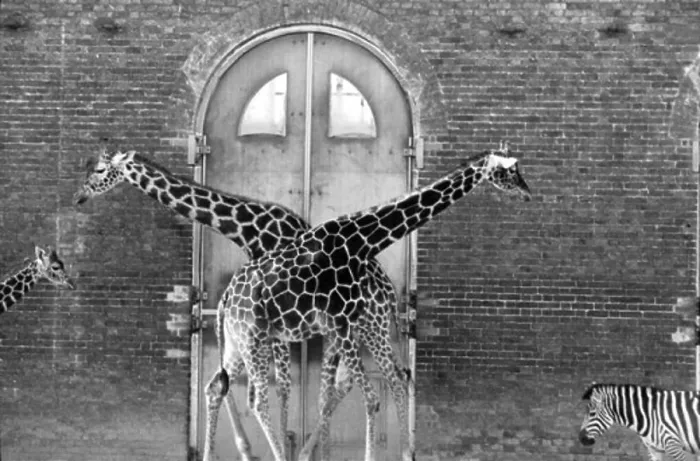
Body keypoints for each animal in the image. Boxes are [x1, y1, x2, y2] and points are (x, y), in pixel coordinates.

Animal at [72, 148, 410, 460]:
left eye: (100, 170)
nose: (79, 196)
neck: (247, 229)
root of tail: (391, 294)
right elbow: (247, 382)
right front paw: (255, 448)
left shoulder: (275, 316)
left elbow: (281, 386)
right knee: (362, 380)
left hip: (360, 326)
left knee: (370, 379)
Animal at [205, 146, 532, 461]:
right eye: (510, 171)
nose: (527, 193)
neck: (361, 243)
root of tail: (225, 300)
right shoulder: (339, 323)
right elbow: (369, 399)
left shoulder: (341, 327)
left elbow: (345, 395)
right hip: (253, 337)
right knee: (257, 398)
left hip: (241, 340)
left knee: (219, 387)